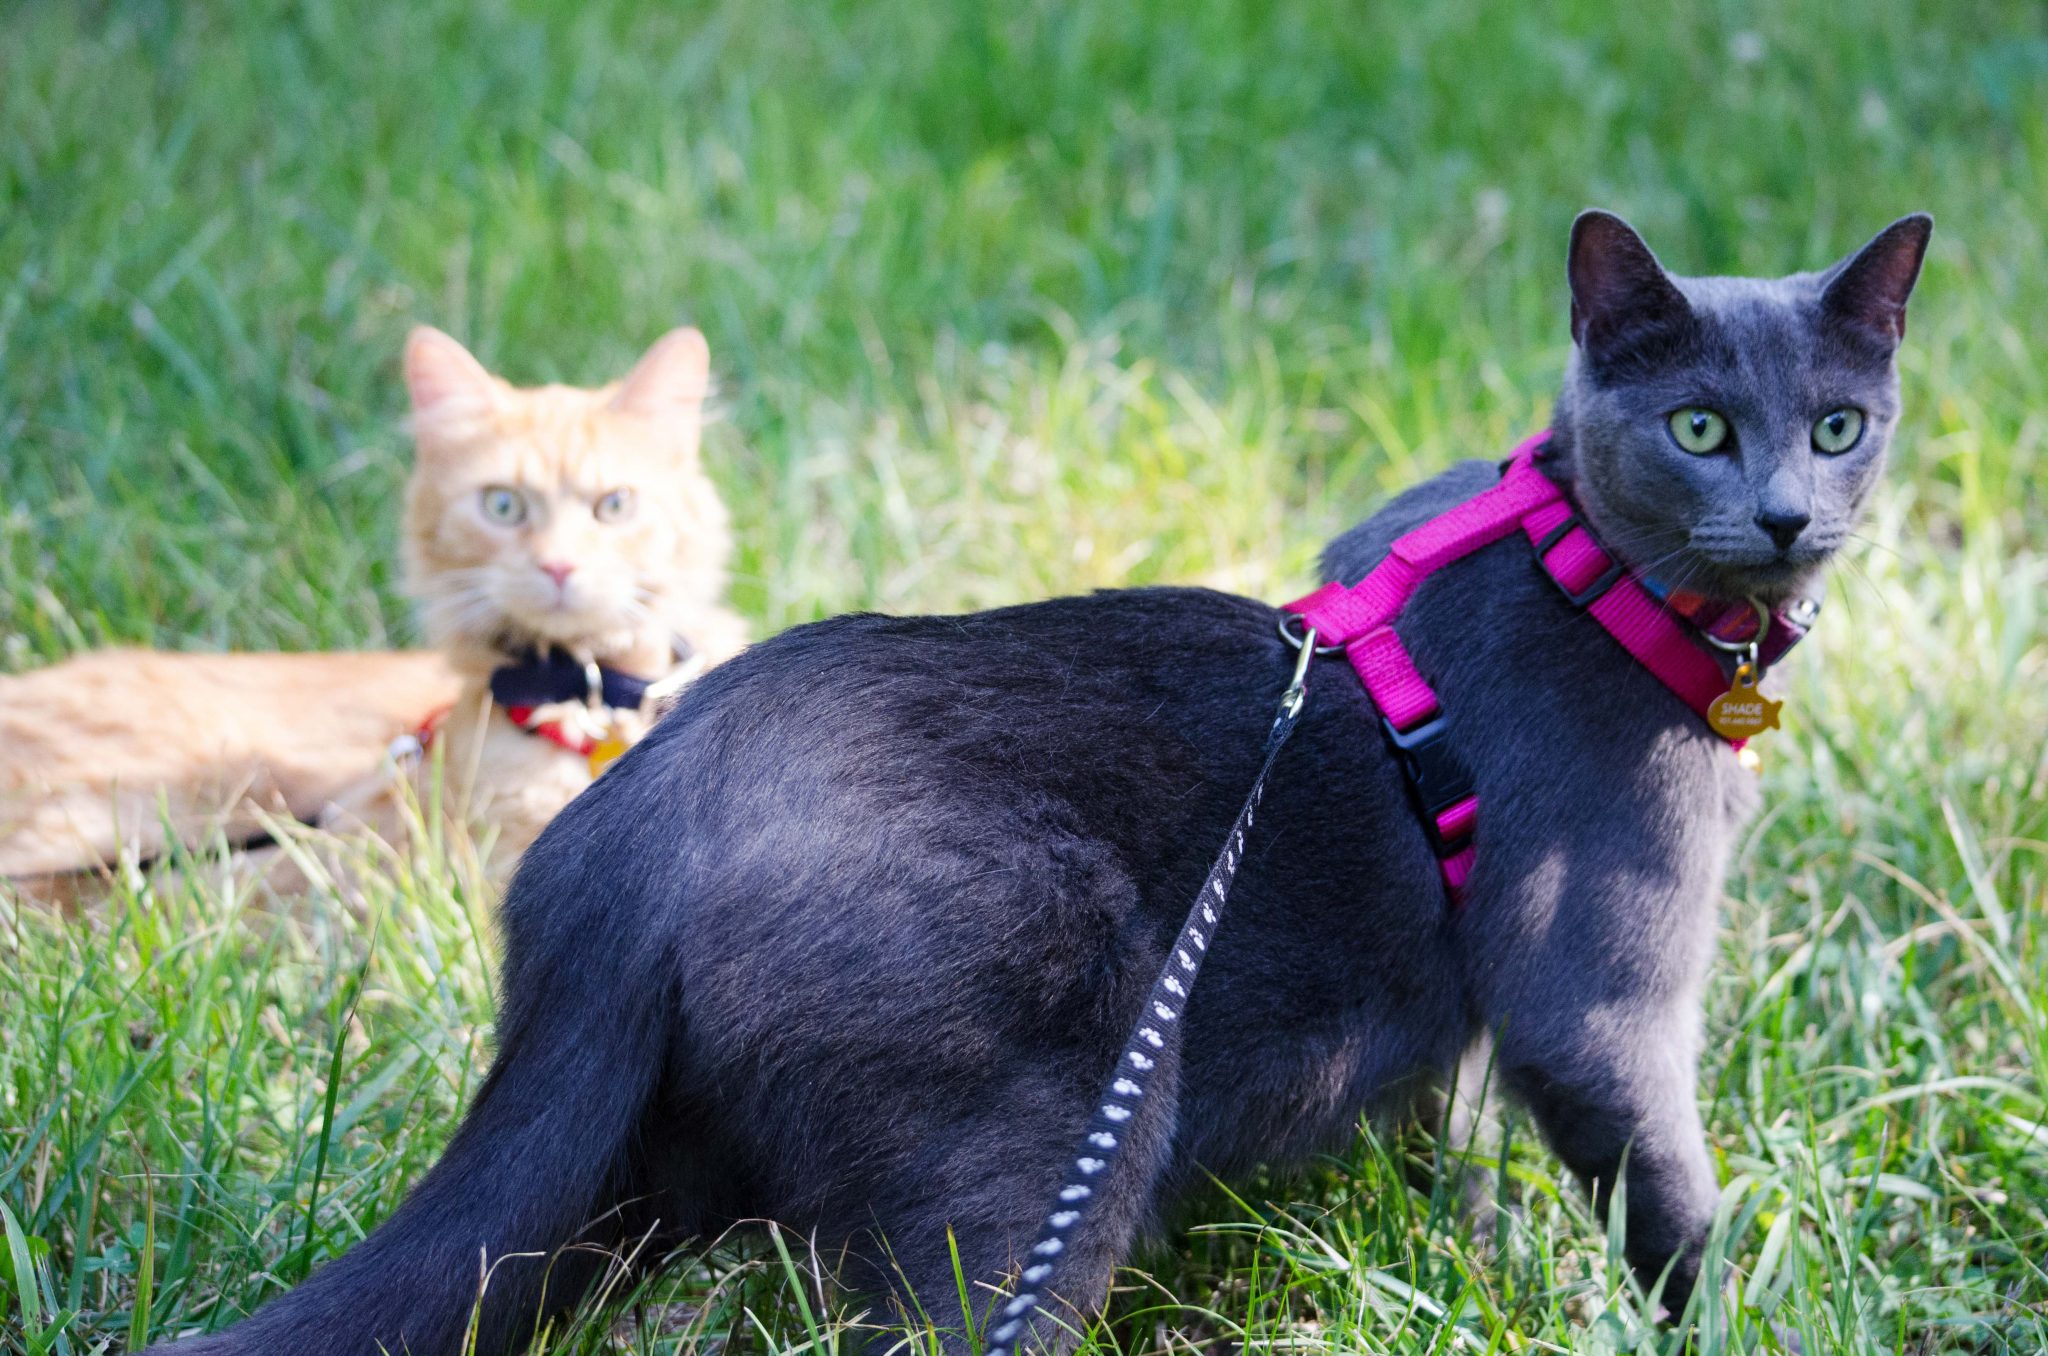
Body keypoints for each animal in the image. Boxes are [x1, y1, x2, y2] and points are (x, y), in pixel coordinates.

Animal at [140, 213, 1916, 1356]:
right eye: (1700, 427)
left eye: (1840, 427)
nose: (1783, 515)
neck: (1581, 573)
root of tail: (622, 849)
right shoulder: (1594, 992)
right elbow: (1664, 1185)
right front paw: (1740, 1322)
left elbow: (1442, 1116)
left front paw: (1458, 1231)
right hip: (1037, 1139)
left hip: (628, 1168)